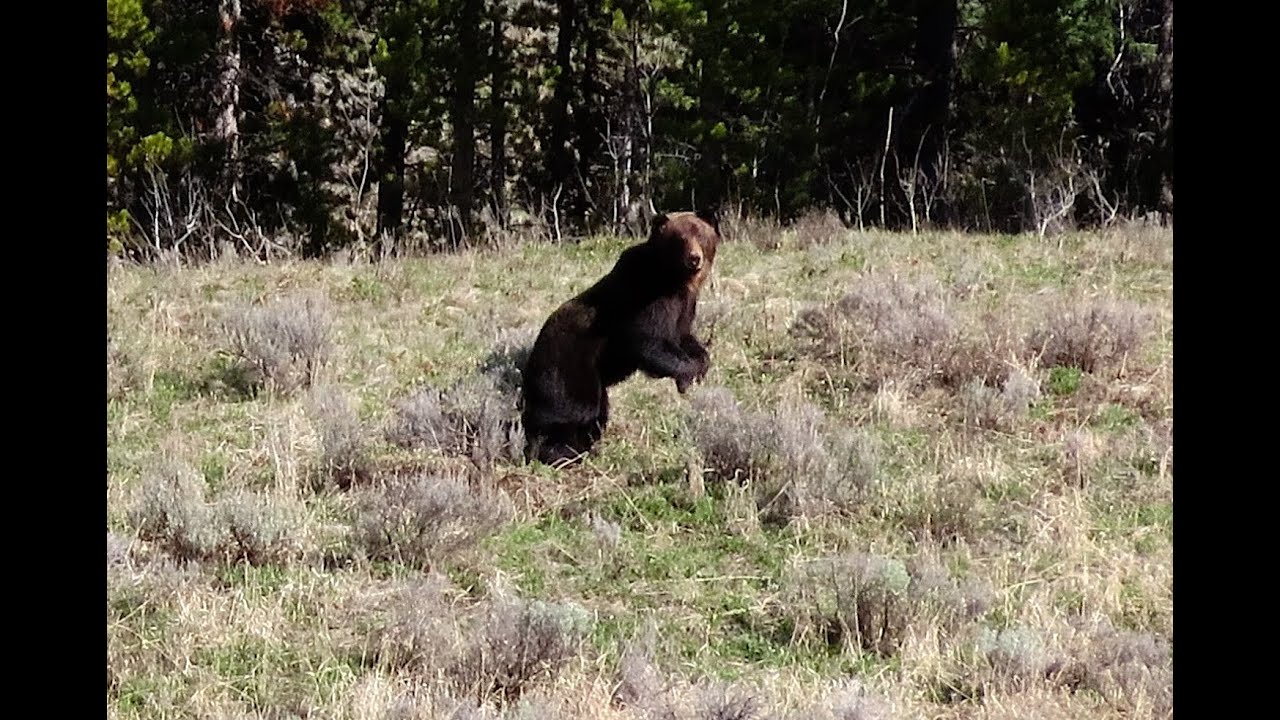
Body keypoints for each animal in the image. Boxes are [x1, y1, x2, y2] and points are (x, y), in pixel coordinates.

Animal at [519, 207, 721, 466]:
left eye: (700, 235)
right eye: (680, 239)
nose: (694, 259)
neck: (674, 278)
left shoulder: (684, 305)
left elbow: (683, 337)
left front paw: (701, 364)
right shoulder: (646, 294)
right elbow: (648, 341)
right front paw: (687, 376)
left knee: (596, 412)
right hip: (568, 368)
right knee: (574, 409)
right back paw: (561, 451)